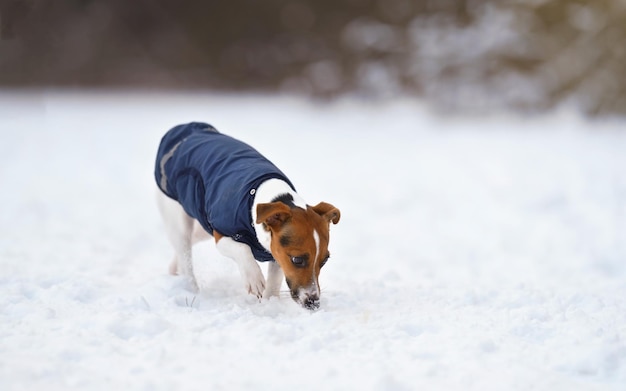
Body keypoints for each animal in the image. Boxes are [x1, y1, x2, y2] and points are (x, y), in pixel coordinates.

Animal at [155, 122, 338, 310]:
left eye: (324, 261)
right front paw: (254, 279)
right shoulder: (221, 234)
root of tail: (188, 129)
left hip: (201, 223)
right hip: (179, 219)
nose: (313, 303)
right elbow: (243, 249)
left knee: (187, 244)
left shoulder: (276, 251)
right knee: (185, 255)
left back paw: (173, 269)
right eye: (297, 260)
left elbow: (274, 282)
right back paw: (191, 289)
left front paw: (269, 304)